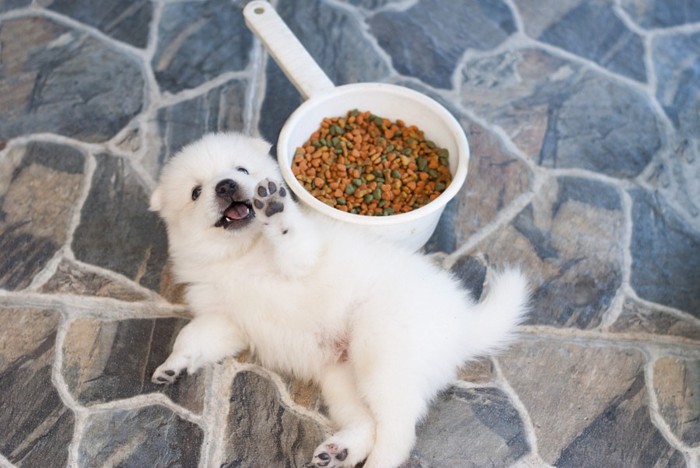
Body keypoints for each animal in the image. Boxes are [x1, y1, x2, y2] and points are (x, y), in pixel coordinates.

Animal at [149, 132, 532, 468]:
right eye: (196, 192)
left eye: (241, 169)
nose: (226, 185)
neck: (238, 255)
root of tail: (464, 323)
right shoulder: (228, 318)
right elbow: (193, 336)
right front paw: (173, 364)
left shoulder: (302, 257)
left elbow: (291, 239)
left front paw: (274, 207)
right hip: (343, 379)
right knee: (368, 423)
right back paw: (341, 450)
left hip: (383, 356)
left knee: (397, 432)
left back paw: (376, 462)